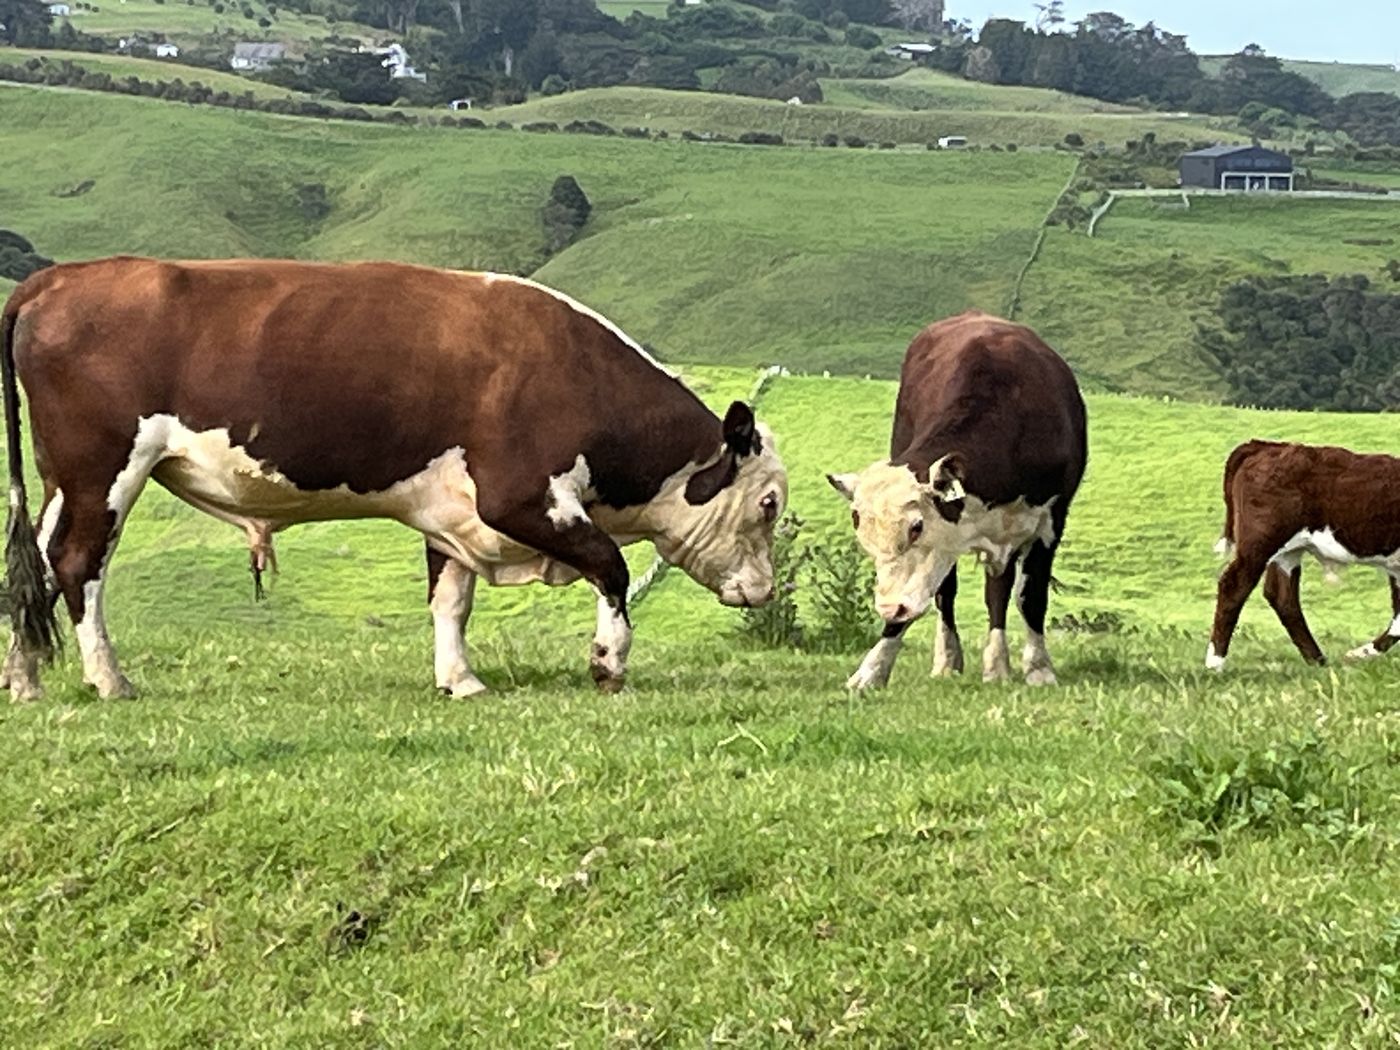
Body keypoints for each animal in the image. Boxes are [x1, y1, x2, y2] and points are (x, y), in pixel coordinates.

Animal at [0, 257, 788, 700]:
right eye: (770, 504)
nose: (764, 591)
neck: (573, 371)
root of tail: (63, 276)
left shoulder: (454, 512)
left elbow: (451, 601)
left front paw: (460, 680)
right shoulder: (518, 496)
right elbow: (612, 569)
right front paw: (608, 665)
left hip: (64, 479)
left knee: (32, 566)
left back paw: (26, 679)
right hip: (102, 469)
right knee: (77, 563)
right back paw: (108, 680)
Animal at [825, 311, 1087, 689]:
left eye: (916, 527)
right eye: (866, 541)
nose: (888, 608)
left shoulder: (1051, 519)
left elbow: (1030, 597)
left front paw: (1039, 669)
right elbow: (928, 598)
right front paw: (872, 670)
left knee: (998, 592)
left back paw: (997, 664)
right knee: (948, 593)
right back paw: (951, 659)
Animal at [1207, 439, 1400, 670]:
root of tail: (1267, 446)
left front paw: (1360, 653)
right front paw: (1358, 654)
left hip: (1288, 551)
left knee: (1282, 597)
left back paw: (1317, 660)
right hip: (1259, 543)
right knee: (1233, 587)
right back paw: (1215, 663)